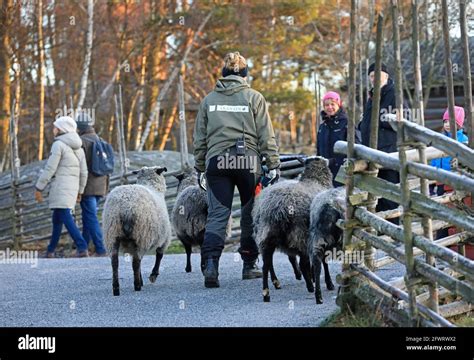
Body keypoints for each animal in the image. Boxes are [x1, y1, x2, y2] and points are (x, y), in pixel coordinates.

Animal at [103, 166, 171, 296]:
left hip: (112, 234)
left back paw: (116, 288)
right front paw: (153, 275)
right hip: (142, 235)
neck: (152, 186)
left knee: (115, 262)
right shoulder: (164, 238)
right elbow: (159, 255)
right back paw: (137, 285)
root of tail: (126, 207)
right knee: (136, 262)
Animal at [252, 156, 334, 302]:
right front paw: (328, 283)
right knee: (301, 263)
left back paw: (268, 291)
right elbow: (323, 262)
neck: (314, 180)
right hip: (300, 235)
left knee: (266, 265)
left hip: (265, 236)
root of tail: (277, 208)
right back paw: (310, 287)